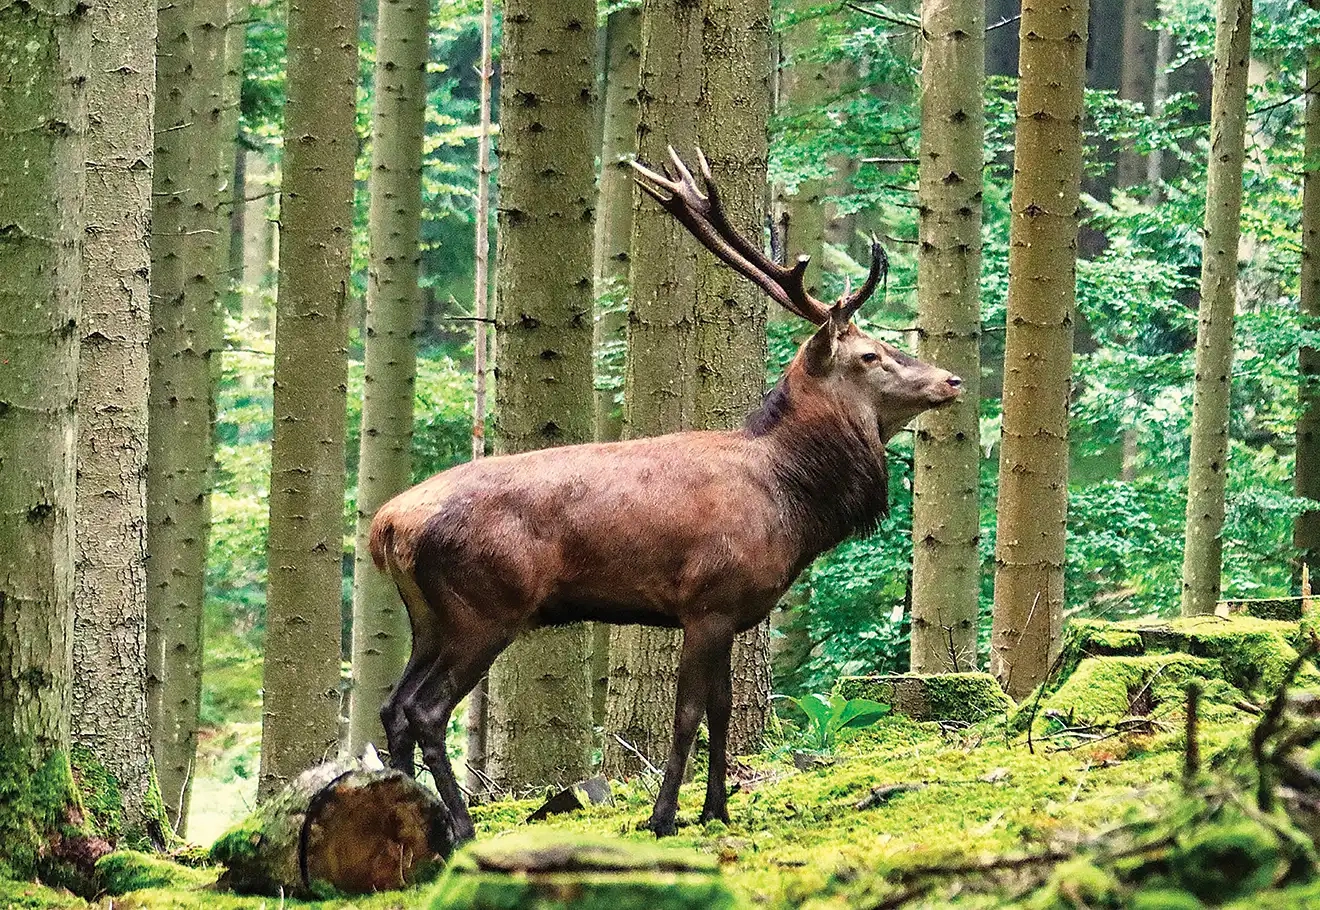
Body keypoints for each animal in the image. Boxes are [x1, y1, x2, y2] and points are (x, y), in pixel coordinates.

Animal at [367, 148, 963, 841]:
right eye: (870, 354)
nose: (951, 380)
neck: (791, 500)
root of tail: (386, 526)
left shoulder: (733, 611)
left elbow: (723, 711)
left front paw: (718, 809)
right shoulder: (707, 600)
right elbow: (688, 715)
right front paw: (663, 816)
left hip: (428, 615)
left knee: (392, 707)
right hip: (484, 607)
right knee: (425, 711)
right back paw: (461, 829)